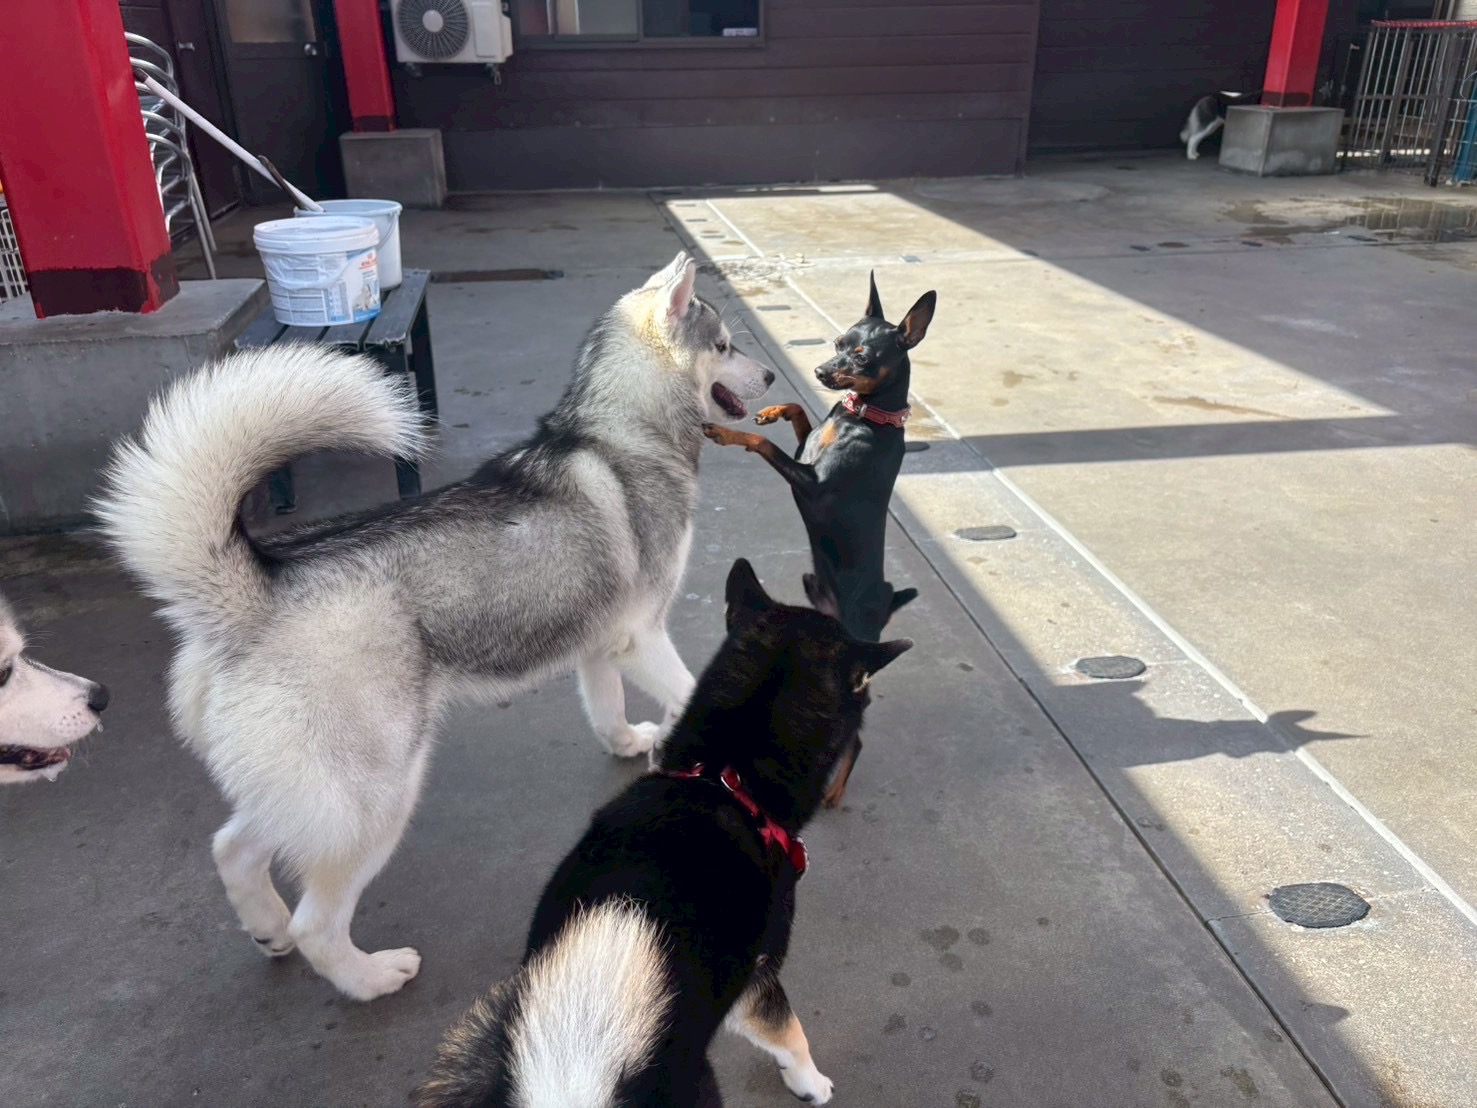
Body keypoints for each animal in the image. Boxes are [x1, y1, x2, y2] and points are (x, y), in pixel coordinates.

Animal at [93, 252, 773, 1001]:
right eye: (725, 346)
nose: (772, 376)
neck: (619, 429)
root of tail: (255, 590)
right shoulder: (640, 636)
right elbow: (685, 689)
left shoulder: (600, 641)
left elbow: (607, 708)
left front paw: (628, 743)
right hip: (375, 796)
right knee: (316, 923)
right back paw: (368, 975)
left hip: (306, 790)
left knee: (233, 849)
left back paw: (267, 928)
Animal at [702, 272, 934, 806]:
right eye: (837, 342)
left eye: (863, 357)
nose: (820, 371)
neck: (861, 417)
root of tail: (885, 606)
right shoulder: (805, 451)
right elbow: (796, 416)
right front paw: (771, 409)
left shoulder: (809, 483)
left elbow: (762, 445)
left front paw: (729, 433)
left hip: (850, 669)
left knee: (857, 730)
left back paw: (835, 789)